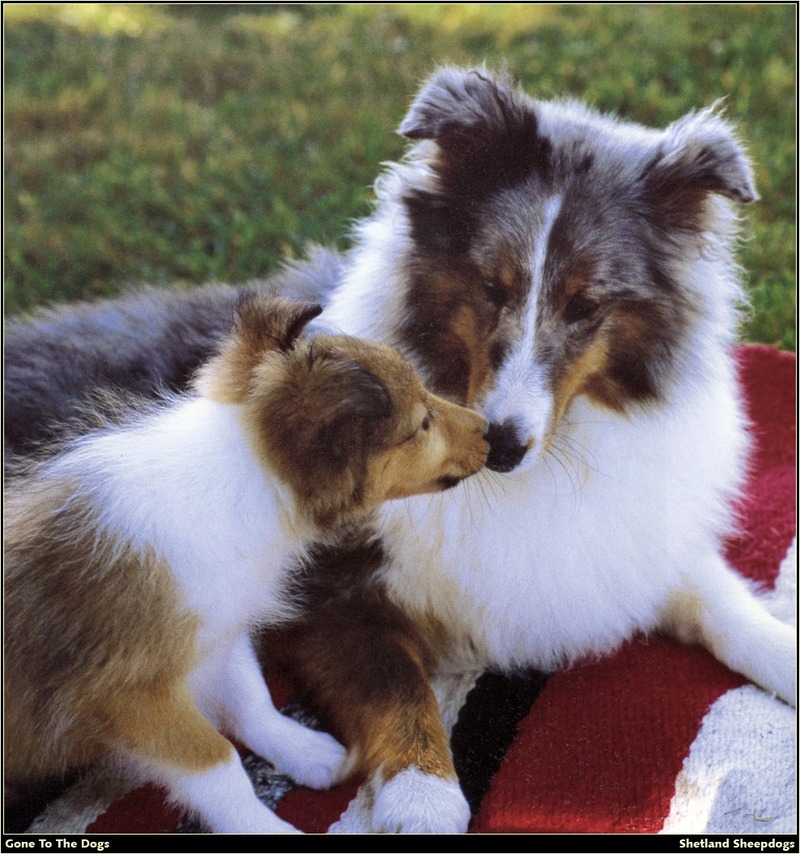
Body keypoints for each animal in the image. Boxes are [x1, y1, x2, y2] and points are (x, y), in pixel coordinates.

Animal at [4, 294, 488, 836]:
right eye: (420, 425)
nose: (493, 432)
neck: (240, 477)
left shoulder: (219, 629)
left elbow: (251, 696)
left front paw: (309, 752)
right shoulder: (130, 696)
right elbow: (219, 766)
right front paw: (268, 829)